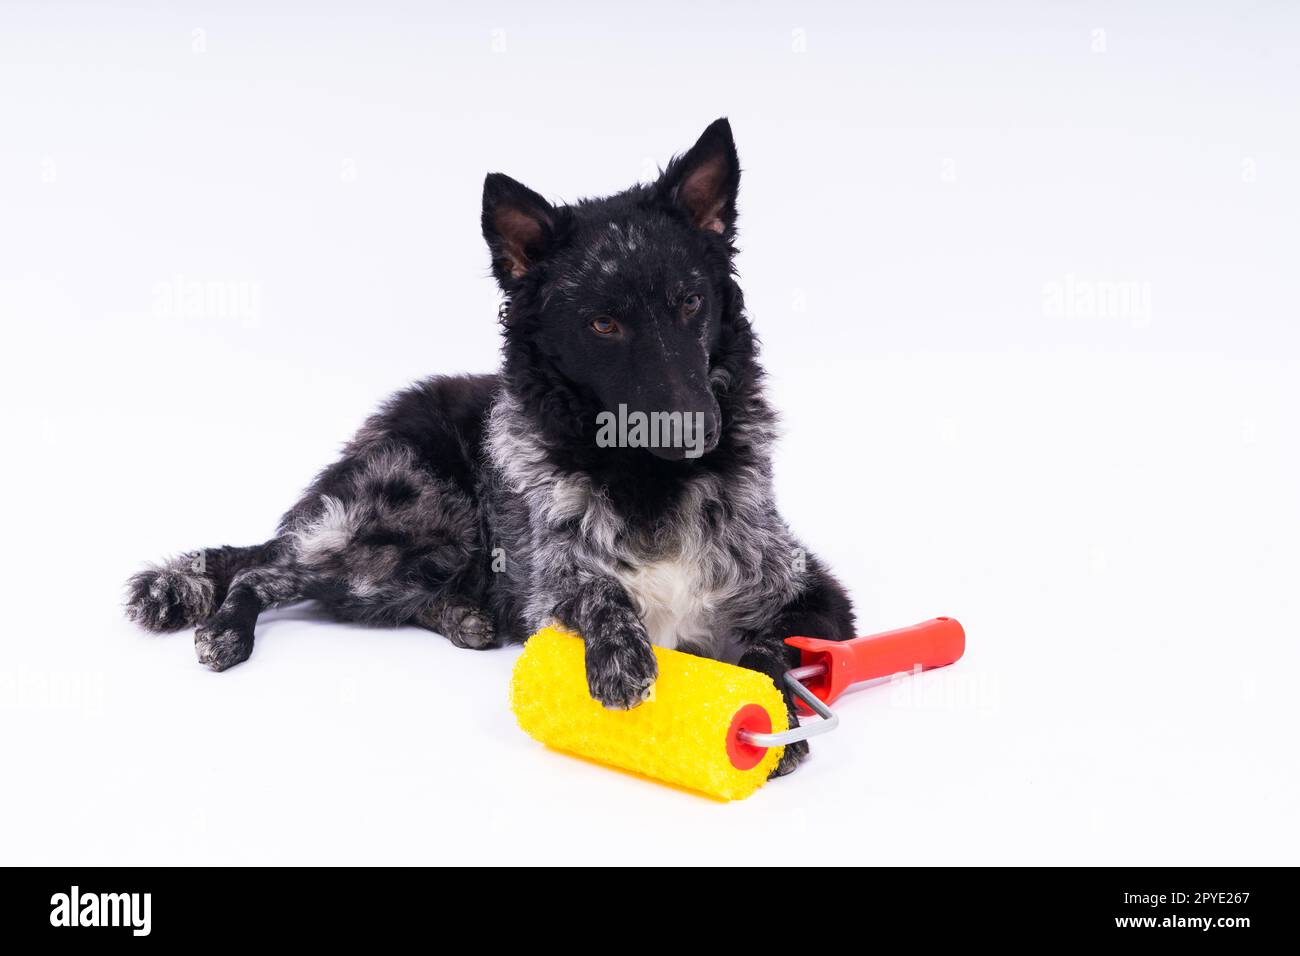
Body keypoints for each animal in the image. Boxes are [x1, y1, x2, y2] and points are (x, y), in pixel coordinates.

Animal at [122, 119, 852, 780]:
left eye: (691, 302)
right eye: (603, 324)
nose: (695, 428)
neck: (646, 479)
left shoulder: (813, 596)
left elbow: (771, 648)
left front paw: (780, 711)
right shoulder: (547, 583)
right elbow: (592, 588)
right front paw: (620, 654)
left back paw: (464, 617)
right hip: (413, 525)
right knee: (264, 571)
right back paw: (226, 629)